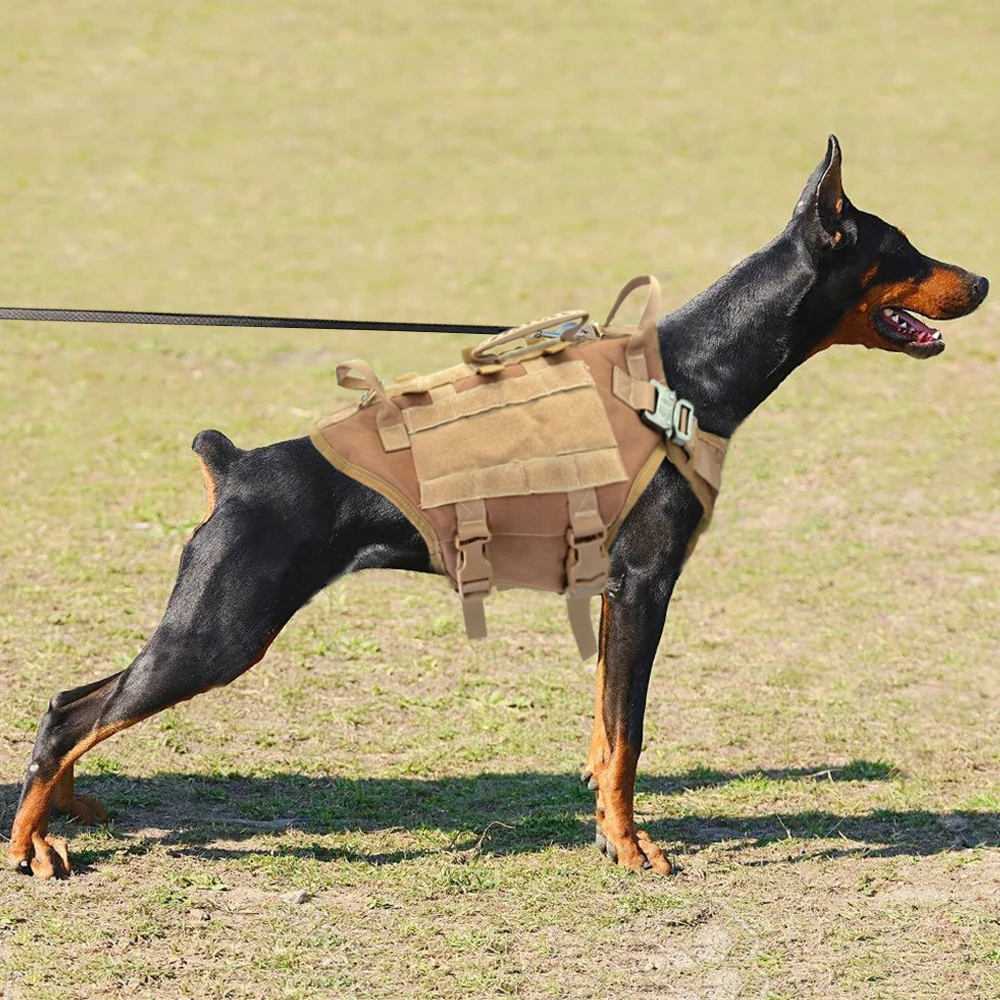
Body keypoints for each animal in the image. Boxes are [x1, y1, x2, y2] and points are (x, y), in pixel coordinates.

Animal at [5, 137, 992, 880]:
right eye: (905, 249)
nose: (981, 283)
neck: (687, 374)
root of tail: (237, 464)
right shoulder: (646, 585)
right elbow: (631, 737)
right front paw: (633, 852)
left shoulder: (611, 592)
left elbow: (605, 731)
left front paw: (606, 829)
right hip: (223, 628)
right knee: (74, 715)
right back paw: (33, 844)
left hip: (208, 624)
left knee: (75, 705)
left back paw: (65, 812)